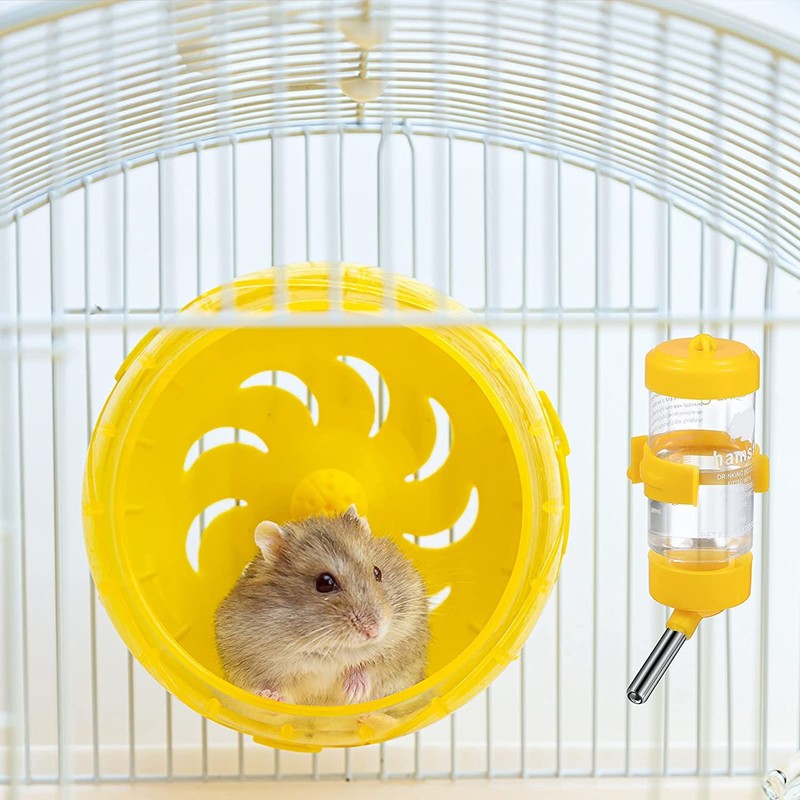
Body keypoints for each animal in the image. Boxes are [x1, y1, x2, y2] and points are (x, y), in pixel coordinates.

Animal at [214, 505, 430, 705]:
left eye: (377, 572)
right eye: (324, 583)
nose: (374, 631)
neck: (330, 647)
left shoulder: (404, 642)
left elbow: (371, 666)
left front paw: (353, 692)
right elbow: (272, 687)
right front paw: (270, 697)